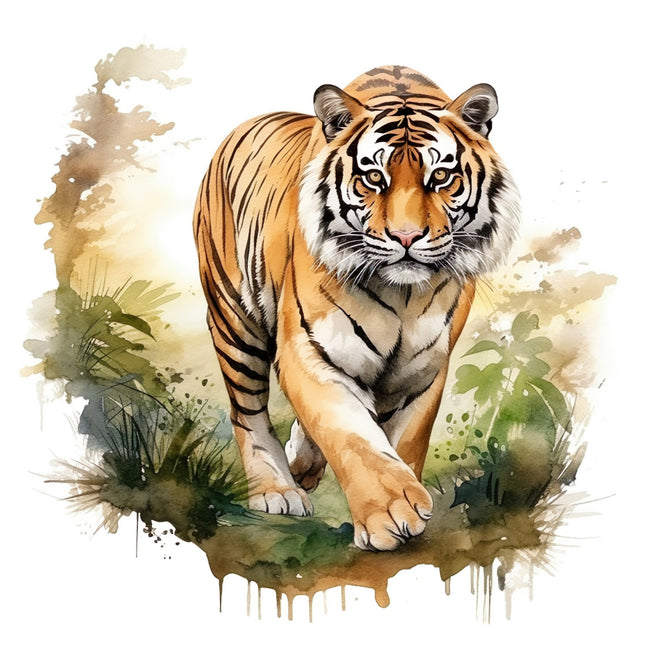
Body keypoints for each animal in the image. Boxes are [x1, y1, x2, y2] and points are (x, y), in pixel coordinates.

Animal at [193, 65, 520, 551]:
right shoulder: (310, 349)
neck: (405, 296)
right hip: (235, 321)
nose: (406, 237)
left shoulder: (423, 370)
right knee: (247, 411)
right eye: (374, 178)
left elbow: (405, 442)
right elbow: (351, 434)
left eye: (441, 177)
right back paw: (277, 490)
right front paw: (391, 512)